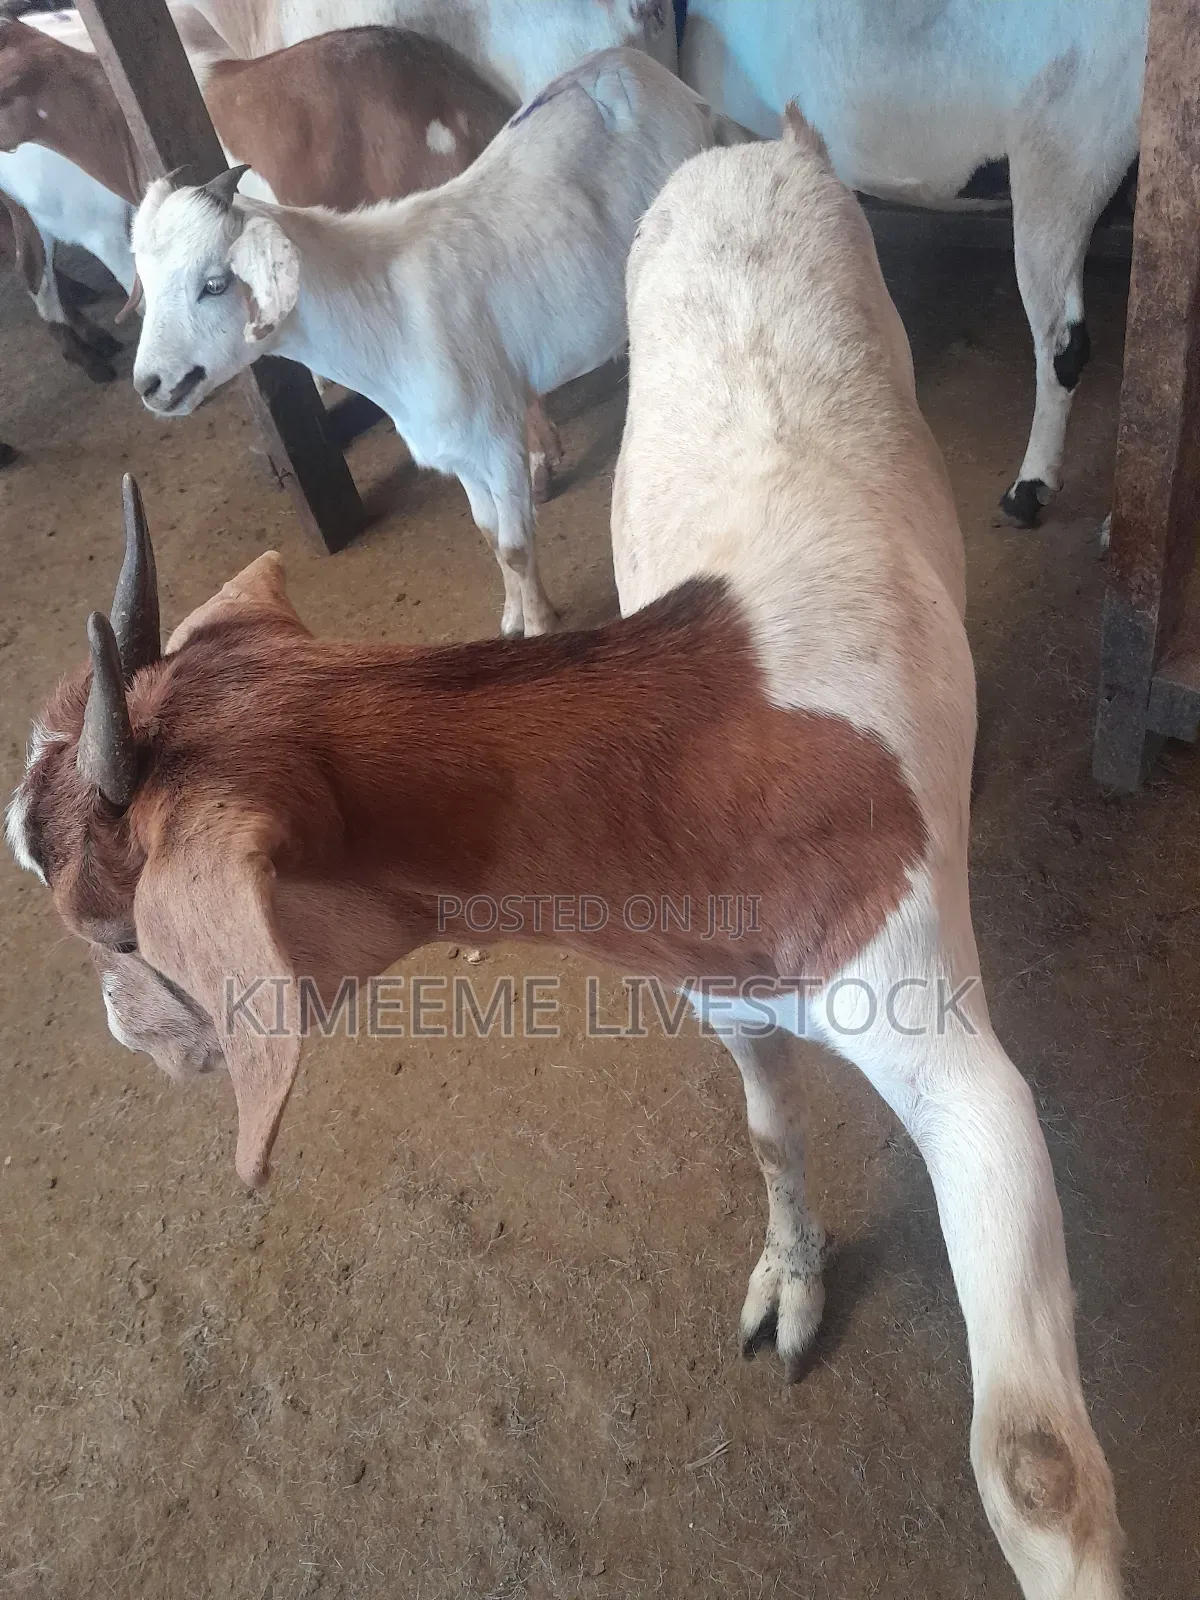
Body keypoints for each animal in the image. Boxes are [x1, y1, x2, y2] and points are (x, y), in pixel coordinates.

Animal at [9, 112, 1121, 1599]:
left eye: (114, 925)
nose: (130, 1036)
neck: (704, 732)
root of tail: (756, 145)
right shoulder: (723, 992)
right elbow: (768, 1131)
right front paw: (793, 1280)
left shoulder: (941, 1040)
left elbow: (1034, 1462)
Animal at [129, 48, 715, 636]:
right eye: (147, 284)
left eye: (214, 284)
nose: (149, 384)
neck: (384, 306)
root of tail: (633, 65)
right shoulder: (458, 450)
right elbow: (488, 536)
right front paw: (513, 616)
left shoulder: (495, 437)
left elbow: (514, 545)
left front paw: (539, 625)